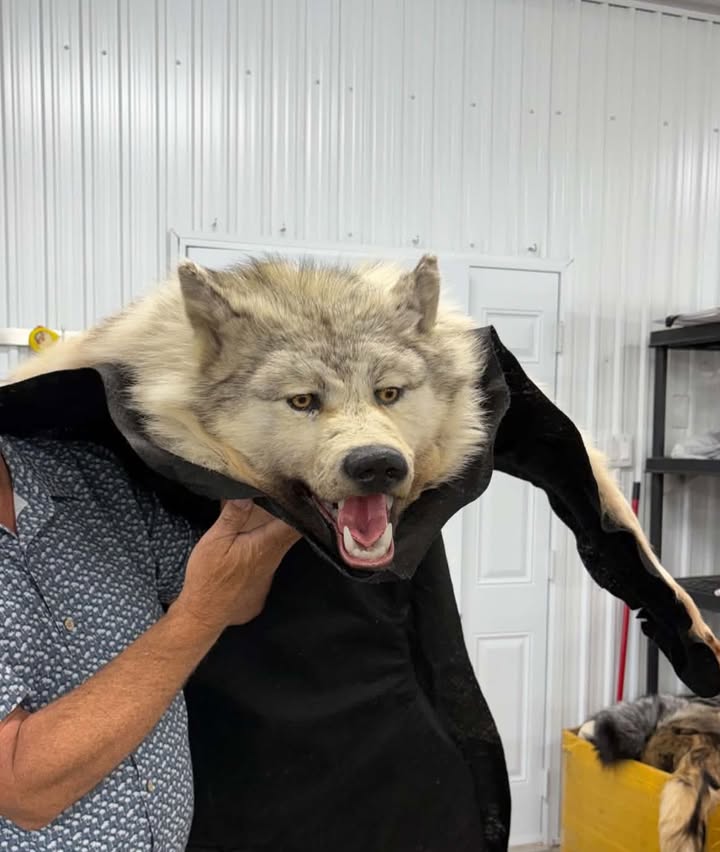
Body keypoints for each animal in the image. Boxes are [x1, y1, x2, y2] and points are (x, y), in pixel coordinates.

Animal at [8, 251, 720, 646]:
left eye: (389, 393)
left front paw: (693, 634)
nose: (377, 464)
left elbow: (618, 520)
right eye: (302, 401)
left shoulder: (519, 410)